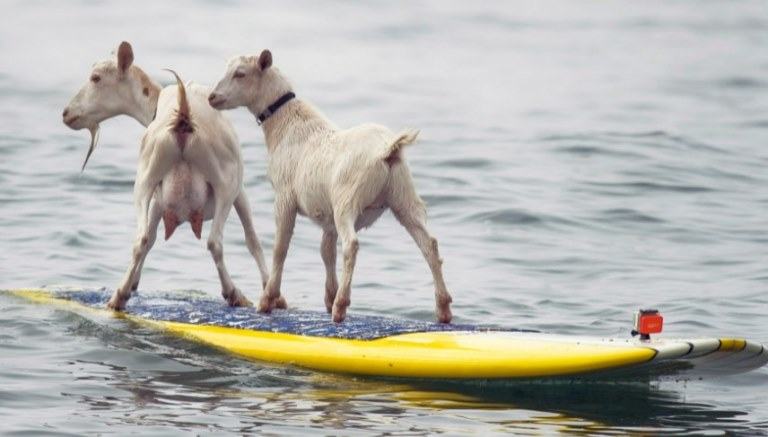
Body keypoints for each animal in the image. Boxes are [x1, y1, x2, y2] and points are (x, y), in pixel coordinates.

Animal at [63, 40, 272, 306]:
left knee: (141, 238)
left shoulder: (158, 198)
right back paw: (234, 294)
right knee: (214, 242)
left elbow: (150, 237)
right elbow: (253, 239)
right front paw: (269, 289)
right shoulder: (239, 190)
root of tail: (182, 117)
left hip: (145, 178)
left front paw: (133, 283)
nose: (66, 113)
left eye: (96, 77)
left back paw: (118, 296)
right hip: (226, 183)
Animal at [207, 49, 452, 322]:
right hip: (403, 196)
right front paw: (327, 297)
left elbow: (281, 248)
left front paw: (268, 299)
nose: (212, 97)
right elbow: (326, 252)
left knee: (351, 244)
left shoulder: (284, 197)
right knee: (428, 244)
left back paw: (341, 306)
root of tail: (388, 150)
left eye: (240, 73)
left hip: (348, 199)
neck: (286, 124)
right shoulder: (326, 214)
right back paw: (443, 308)